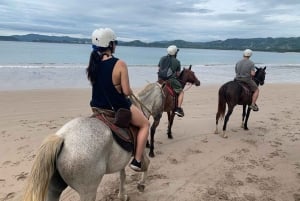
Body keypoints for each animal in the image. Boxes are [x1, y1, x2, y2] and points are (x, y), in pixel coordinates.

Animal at [22, 116, 150, 201]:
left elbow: (122, 176)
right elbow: (146, 164)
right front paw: (141, 184)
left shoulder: (121, 161)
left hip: (53, 189)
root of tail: (62, 138)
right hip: (88, 192)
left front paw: (122, 195)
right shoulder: (141, 151)